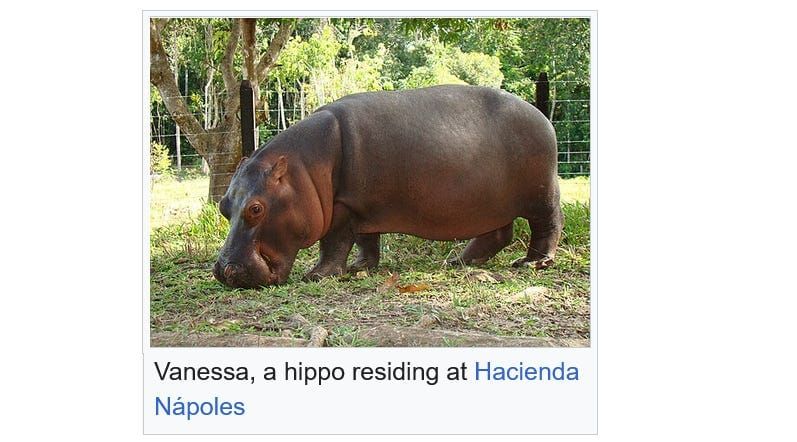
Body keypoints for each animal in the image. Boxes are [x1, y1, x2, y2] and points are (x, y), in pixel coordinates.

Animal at [213, 85, 562, 288]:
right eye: (223, 206)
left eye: (256, 208)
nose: (224, 271)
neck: (304, 169)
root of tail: (541, 115)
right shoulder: (364, 207)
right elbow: (367, 240)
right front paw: (359, 268)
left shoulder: (344, 205)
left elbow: (334, 242)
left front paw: (317, 275)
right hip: (490, 204)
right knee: (498, 234)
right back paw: (459, 261)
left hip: (540, 194)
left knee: (547, 224)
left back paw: (533, 263)